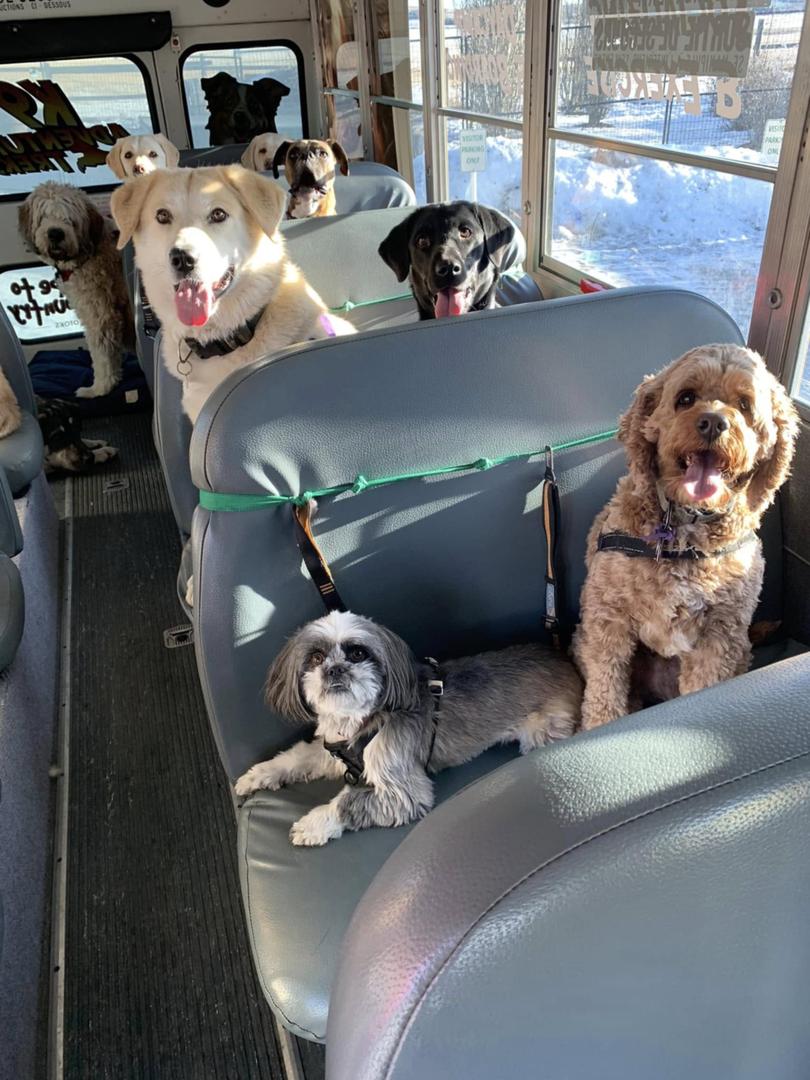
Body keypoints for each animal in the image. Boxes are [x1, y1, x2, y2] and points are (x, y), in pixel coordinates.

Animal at [19, 183, 133, 399]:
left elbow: (102, 358)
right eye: (44, 215)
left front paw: (99, 389)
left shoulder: (101, 316)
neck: (88, 252)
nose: (55, 233)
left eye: (69, 218)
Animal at [234, 613, 583, 846]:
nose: (335, 669)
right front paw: (257, 775)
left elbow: (348, 801)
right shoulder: (332, 750)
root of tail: (564, 662)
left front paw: (314, 824)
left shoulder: (401, 791)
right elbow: (296, 758)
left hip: (543, 731)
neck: (362, 721)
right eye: (316, 657)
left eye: (358, 653)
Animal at [578, 343, 799, 734]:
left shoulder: (720, 636)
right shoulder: (608, 617)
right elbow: (605, 690)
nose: (713, 422)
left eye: (745, 405)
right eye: (685, 398)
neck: (684, 528)